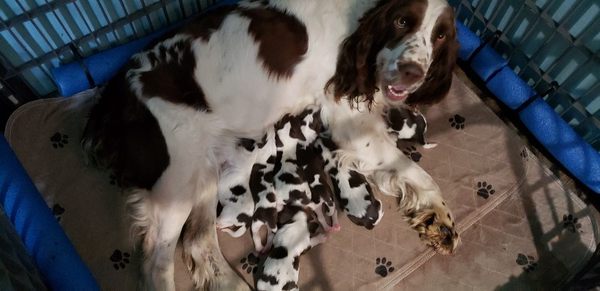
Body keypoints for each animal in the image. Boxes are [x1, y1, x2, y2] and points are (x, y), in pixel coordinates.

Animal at [82, 0, 460, 290]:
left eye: (440, 35)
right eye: (402, 21)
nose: (412, 72)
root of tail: (110, 101)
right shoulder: (349, 122)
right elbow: (414, 170)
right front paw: (441, 217)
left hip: (203, 170)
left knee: (197, 241)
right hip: (176, 180)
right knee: (156, 265)